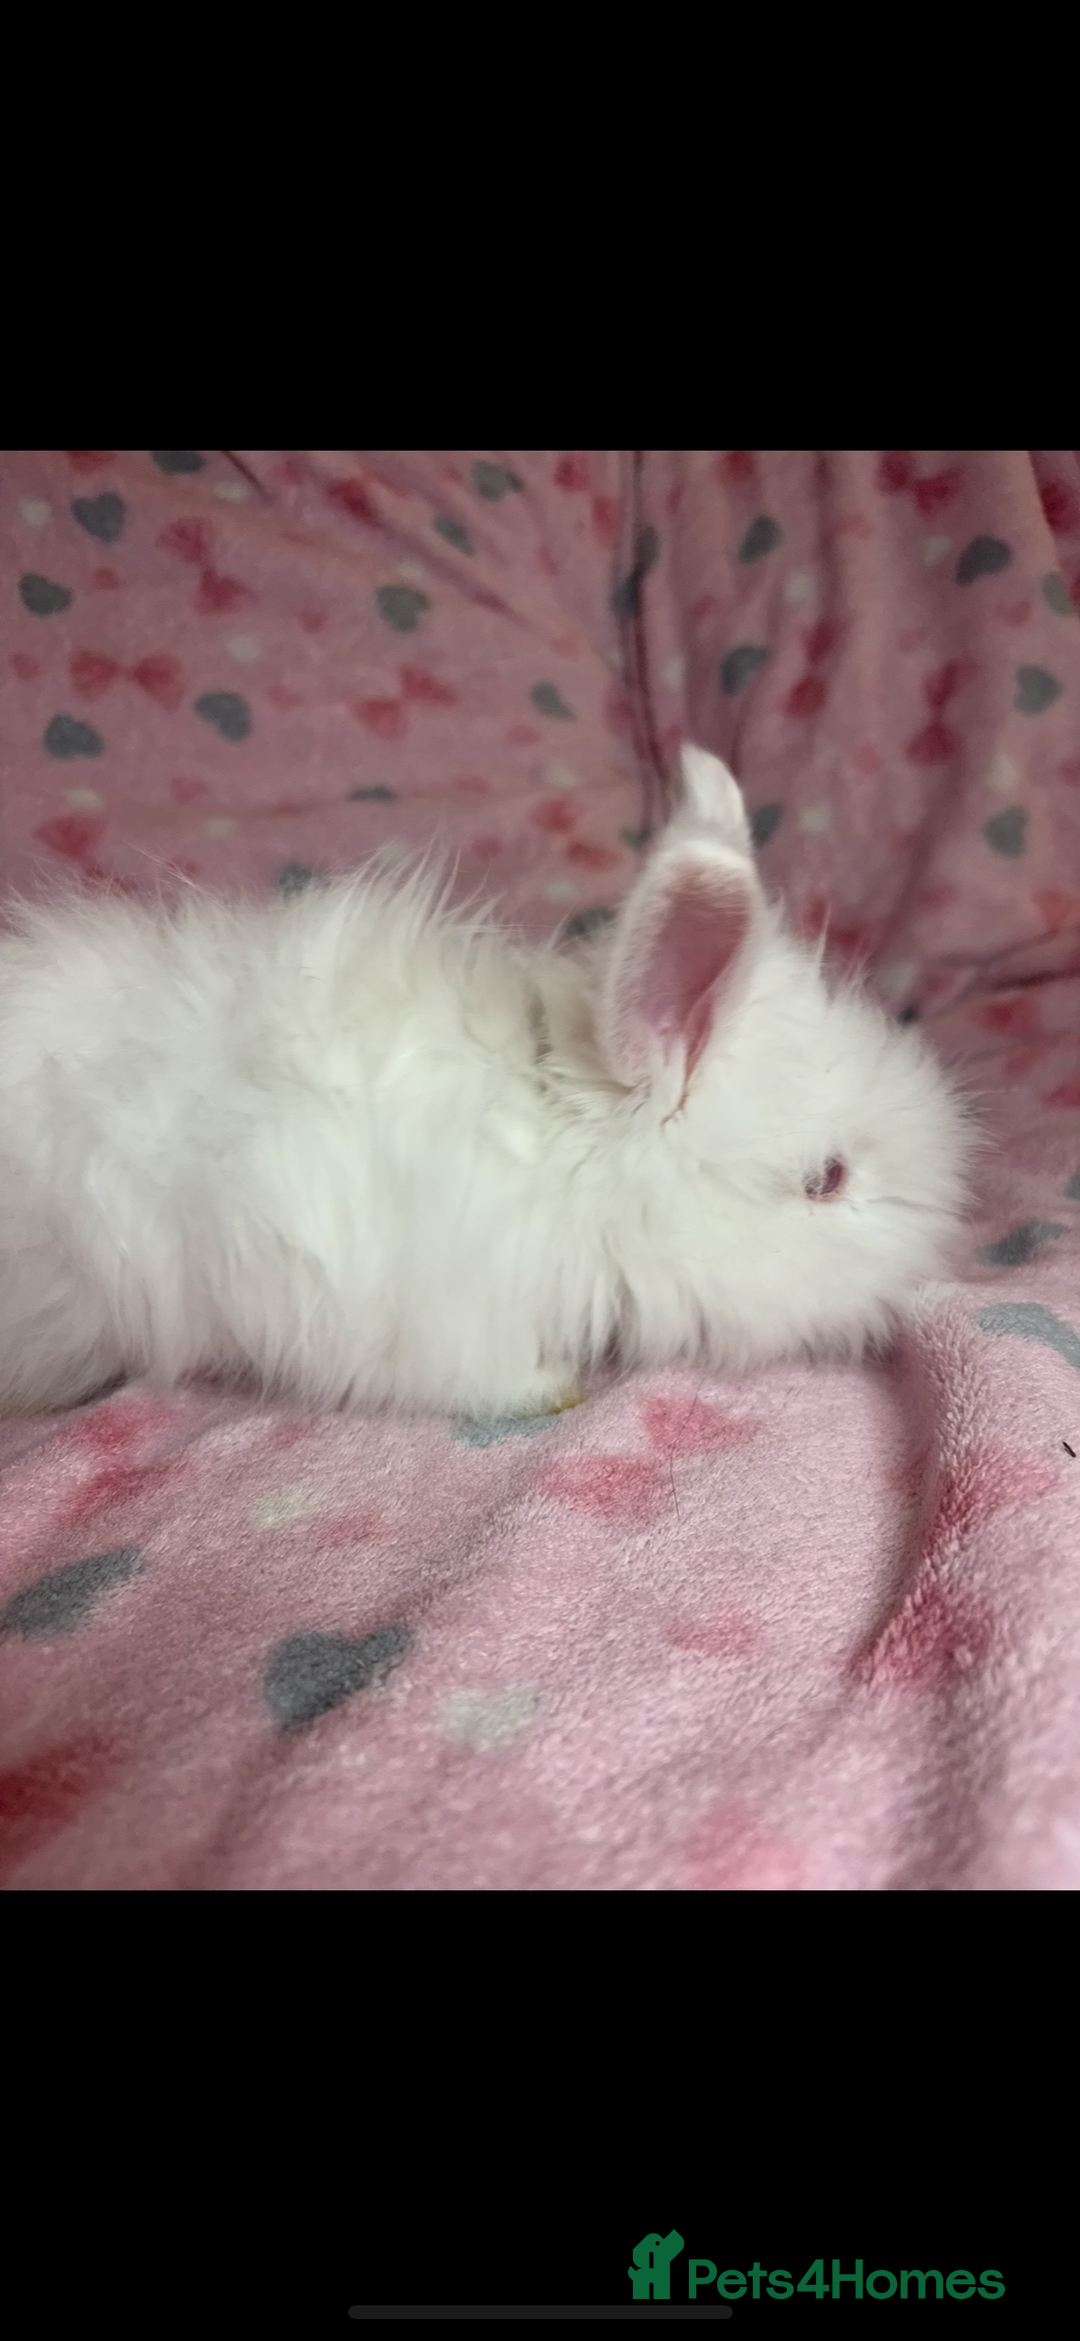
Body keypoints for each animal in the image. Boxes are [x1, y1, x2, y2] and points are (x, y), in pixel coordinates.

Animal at [0, 744, 973, 1420]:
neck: (558, 1139)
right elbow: (470, 1376)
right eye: (827, 1179)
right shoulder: (413, 1308)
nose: (937, 1247)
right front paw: (551, 1389)